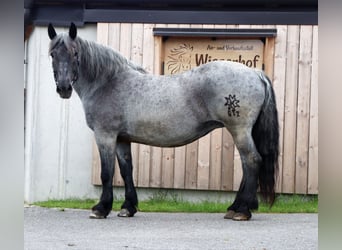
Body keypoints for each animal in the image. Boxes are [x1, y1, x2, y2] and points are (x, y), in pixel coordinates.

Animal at [47, 22, 278, 220]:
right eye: (52, 54)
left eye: (75, 53)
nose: (63, 88)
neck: (108, 82)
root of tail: (256, 73)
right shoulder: (122, 139)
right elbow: (126, 170)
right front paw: (128, 208)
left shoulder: (105, 136)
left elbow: (107, 172)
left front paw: (101, 208)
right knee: (248, 165)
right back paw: (234, 208)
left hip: (239, 129)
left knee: (252, 161)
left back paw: (243, 210)